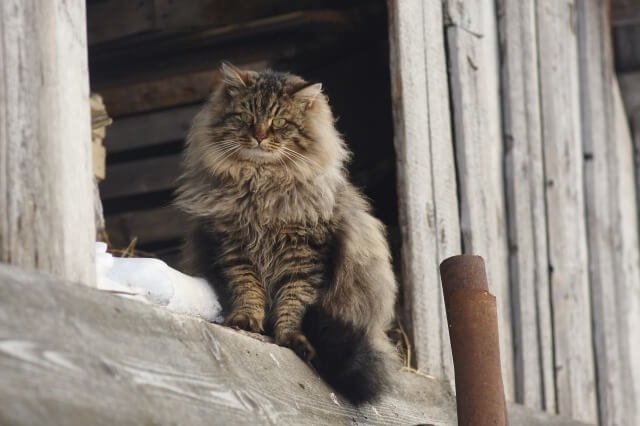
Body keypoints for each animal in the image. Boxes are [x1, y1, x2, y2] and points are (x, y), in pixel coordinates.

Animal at [174, 62, 396, 402]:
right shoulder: (235, 247)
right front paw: (246, 321)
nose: (259, 136)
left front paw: (291, 337)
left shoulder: (305, 255)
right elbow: (247, 289)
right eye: (246, 117)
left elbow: (294, 302)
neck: (261, 184)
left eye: (279, 122)